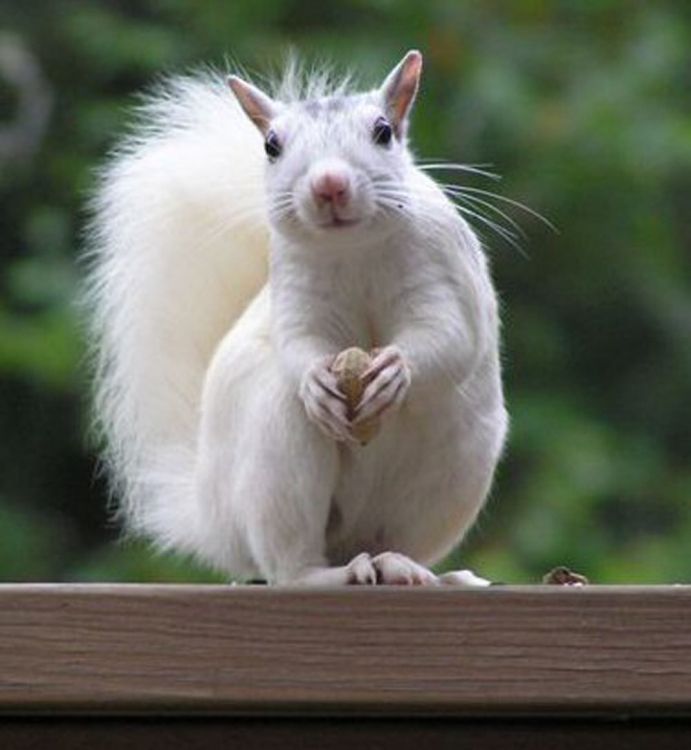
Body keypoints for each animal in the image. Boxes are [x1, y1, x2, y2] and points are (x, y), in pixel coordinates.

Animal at [85, 51, 508, 588]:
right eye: (271, 145)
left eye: (383, 131)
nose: (329, 184)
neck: (353, 251)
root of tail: (211, 515)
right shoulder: (295, 289)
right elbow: (296, 341)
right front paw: (315, 380)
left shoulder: (442, 272)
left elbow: (450, 336)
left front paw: (395, 370)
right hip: (278, 455)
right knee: (288, 565)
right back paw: (330, 573)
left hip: (452, 468)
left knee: (392, 539)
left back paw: (412, 568)